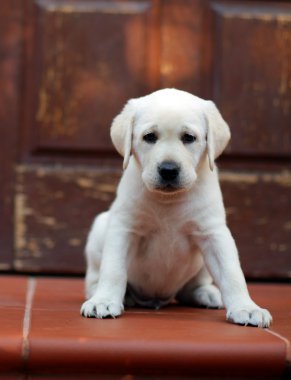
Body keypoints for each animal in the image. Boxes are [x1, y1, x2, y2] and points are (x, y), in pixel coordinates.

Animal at [80, 88, 274, 326]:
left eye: (189, 138)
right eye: (149, 137)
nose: (168, 169)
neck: (168, 201)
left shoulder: (214, 233)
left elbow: (232, 273)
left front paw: (246, 307)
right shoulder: (123, 229)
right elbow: (113, 270)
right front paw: (104, 301)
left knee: (190, 288)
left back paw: (206, 293)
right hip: (100, 228)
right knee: (94, 278)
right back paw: (111, 295)